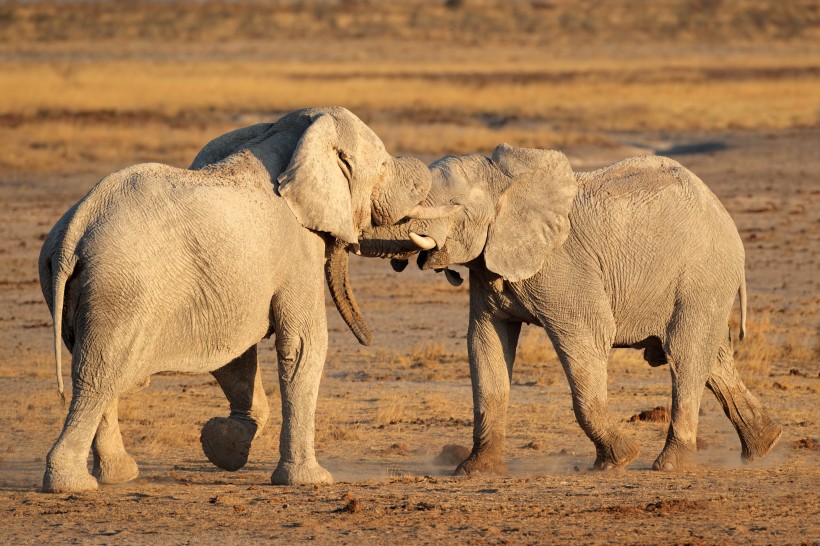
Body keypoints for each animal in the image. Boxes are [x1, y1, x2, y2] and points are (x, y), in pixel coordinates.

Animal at [40, 106, 448, 492]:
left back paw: (119, 476)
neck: (291, 139)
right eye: (383, 166)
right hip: (123, 288)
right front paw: (311, 481)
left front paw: (219, 445)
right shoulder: (297, 246)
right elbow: (304, 344)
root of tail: (76, 226)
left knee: (96, 368)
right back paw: (72, 484)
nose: (369, 338)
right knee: (98, 375)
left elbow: (235, 357)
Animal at [358, 143, 780, 472]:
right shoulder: (488, 267)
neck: (505, 180)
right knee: (715, 359)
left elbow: (587, 338)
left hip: (701, 274)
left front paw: (618, 460)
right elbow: (485, 345)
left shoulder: (565, 267)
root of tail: (724, 217)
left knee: (686, 354)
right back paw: (765, 445)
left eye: (452, 205)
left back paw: (670, 465)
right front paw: (473, 470)